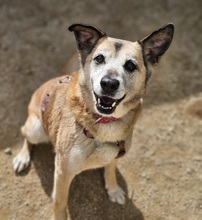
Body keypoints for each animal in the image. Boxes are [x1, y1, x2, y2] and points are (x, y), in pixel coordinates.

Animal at [12, 23, 174, 219]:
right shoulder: (64, 171)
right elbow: (60, 203)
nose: (109, 83)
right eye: (99, 58)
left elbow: (110, 170)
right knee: (25, 135)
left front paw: (113, 189)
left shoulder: (115, 155)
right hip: (35, 129)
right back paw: (22, 157)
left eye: (130, 65)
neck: (103, 122)